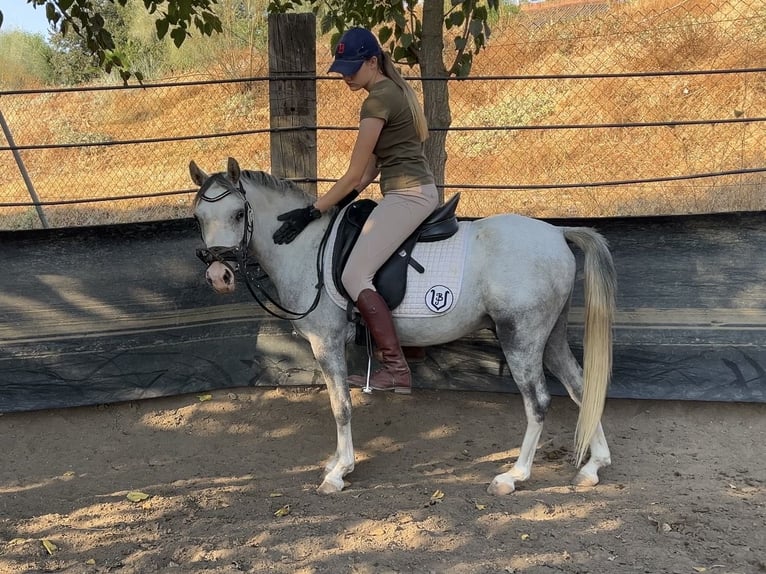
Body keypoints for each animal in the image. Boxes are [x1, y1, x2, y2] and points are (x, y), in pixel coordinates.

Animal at [190, 157, 617, 496]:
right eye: (198, 217)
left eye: (239, 214)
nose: (218, 276)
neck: (307, 248)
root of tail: (556, 232)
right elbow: (339, 403)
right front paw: (336, 462)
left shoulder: (326, 343)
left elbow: (341, 406)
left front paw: (339, 472)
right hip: (550, 337)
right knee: (582, 387)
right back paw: (592, 468)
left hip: (521, 338)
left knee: (539, 401)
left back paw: (514, 475)